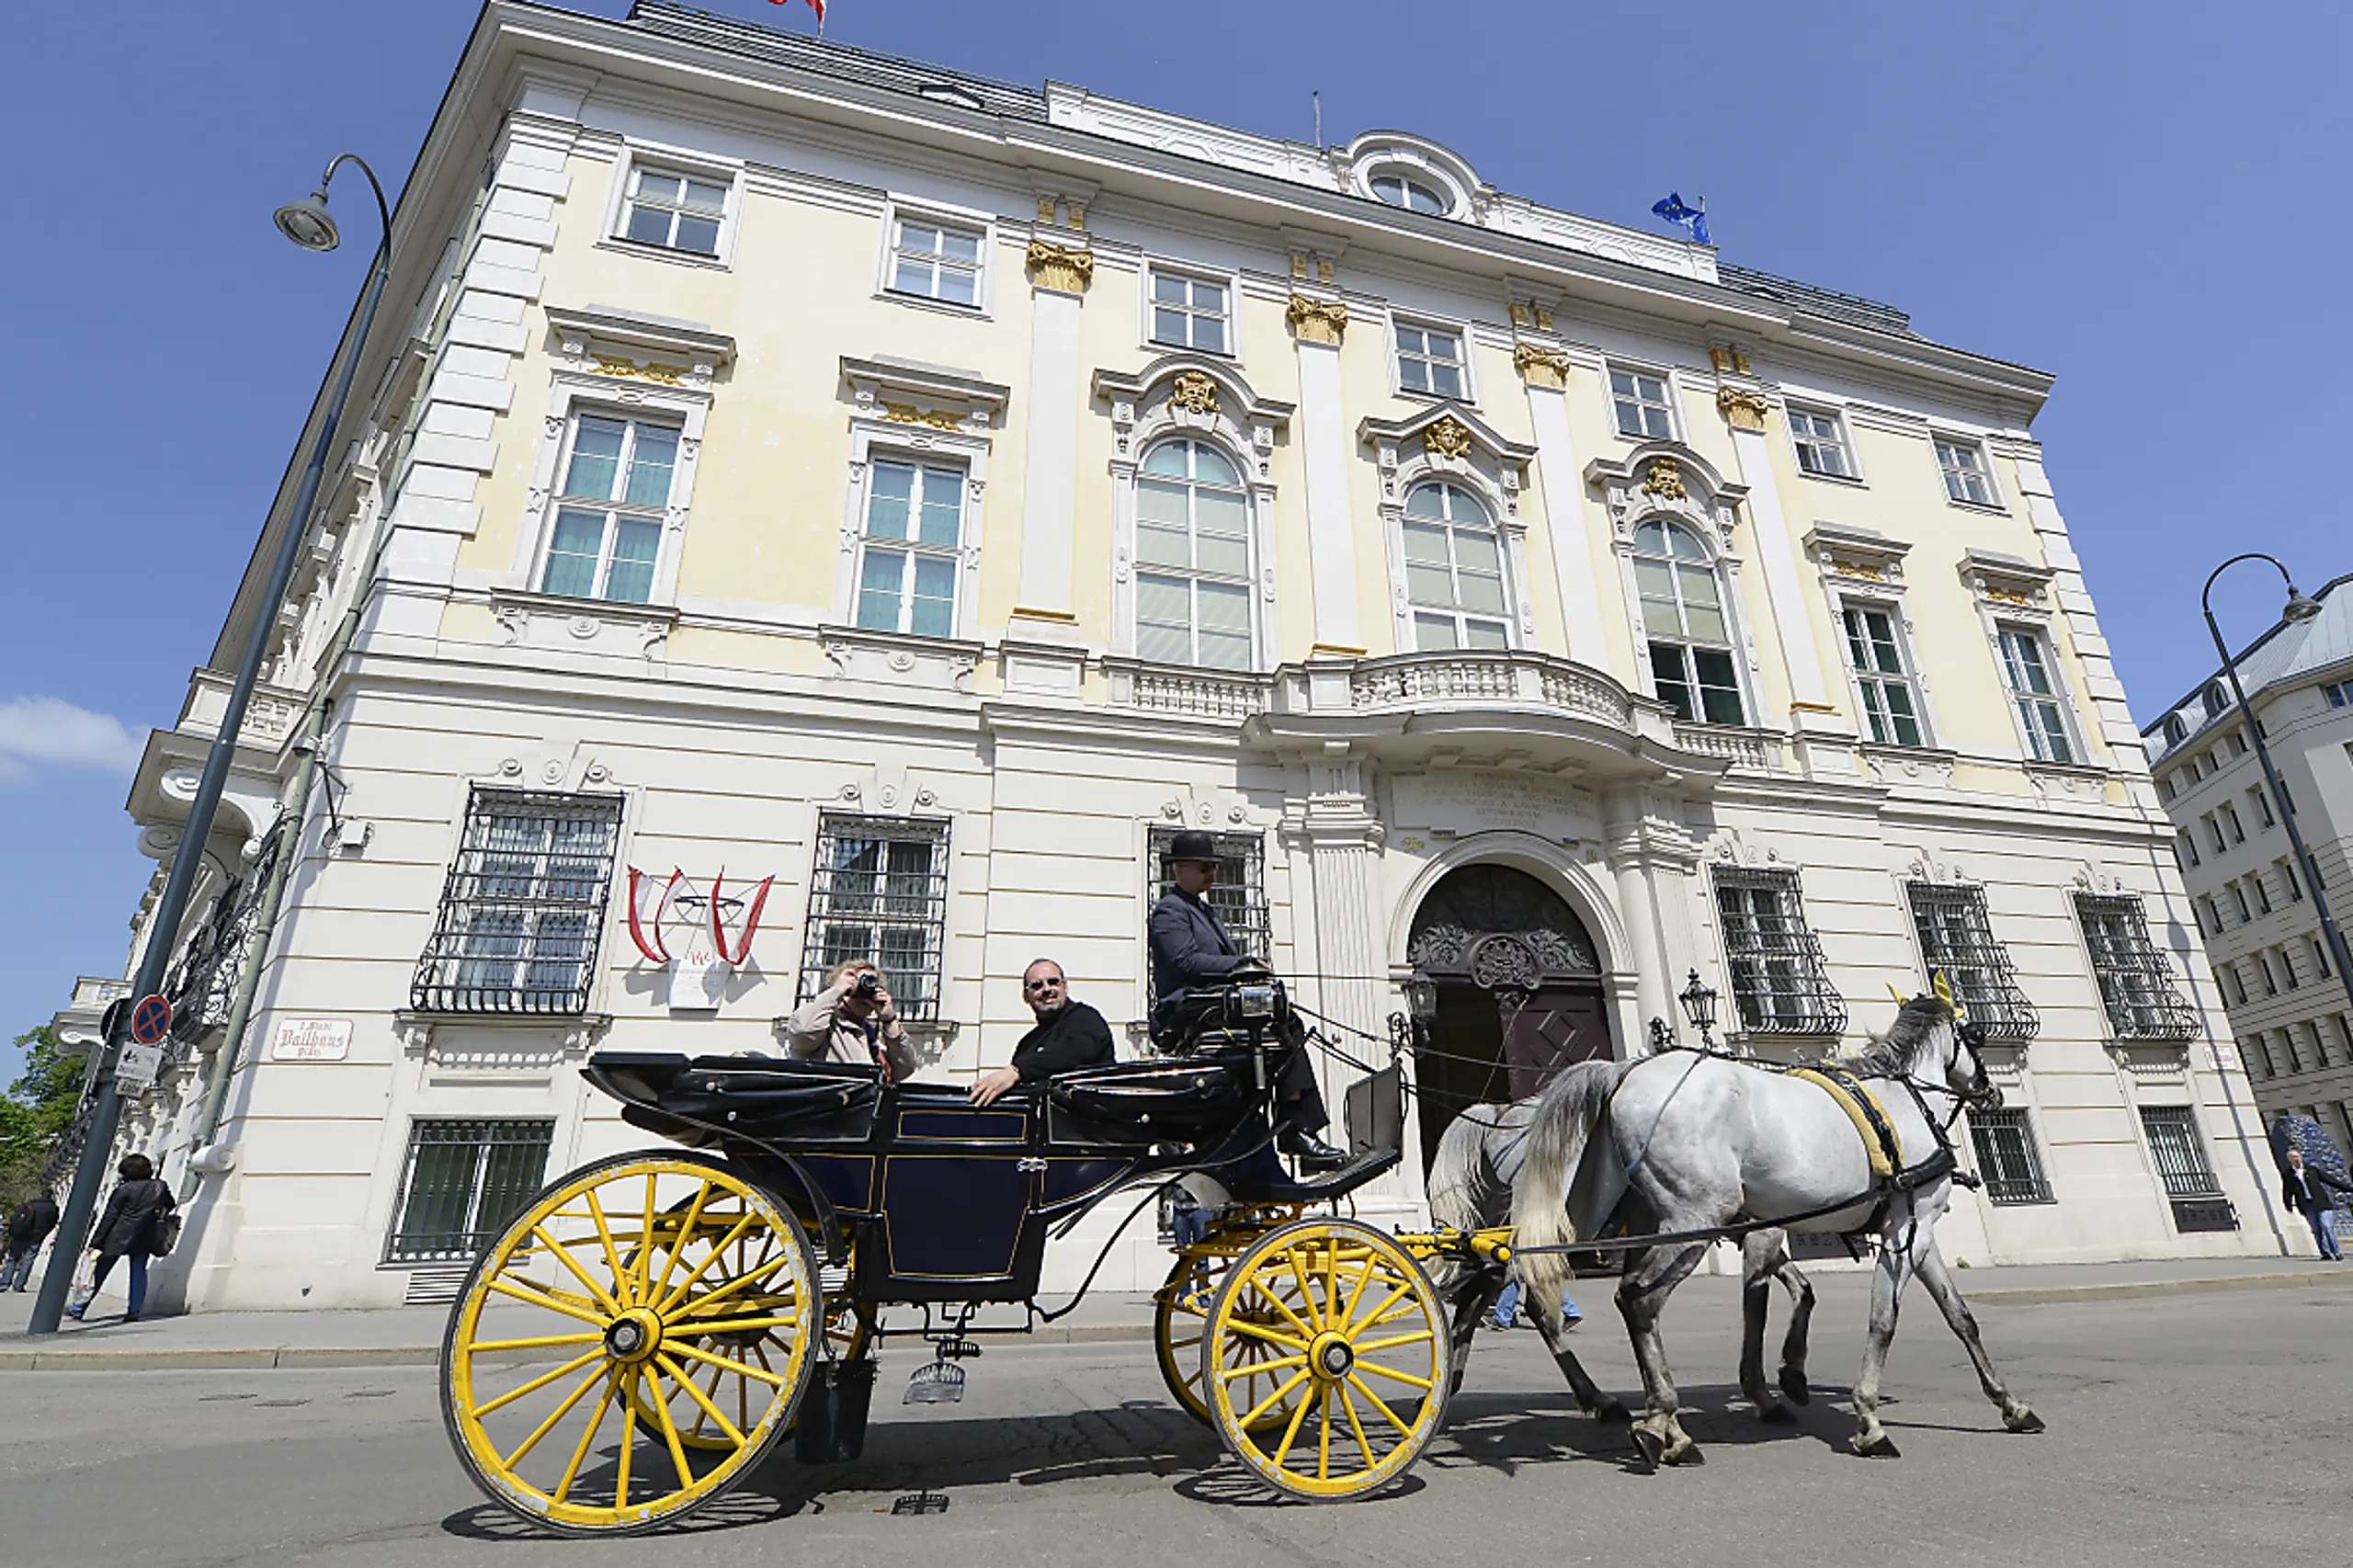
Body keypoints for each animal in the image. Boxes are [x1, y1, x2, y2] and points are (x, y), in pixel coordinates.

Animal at [1421, 1092, 1807, 1422]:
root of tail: (1500, 1114)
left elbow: (1801, 1289)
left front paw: (1791, 1373)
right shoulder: (1761, 1230)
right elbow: (1758, 1307)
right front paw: (1765, 1392)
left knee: (1478, 1294)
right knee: (1523, 1304)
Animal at [1506, 993, 2042, 1460]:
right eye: (1974, 1034)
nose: (1991, 1090)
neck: (1900, 1100)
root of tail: (1623, 1071)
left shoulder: (1918, 1234)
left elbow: (1961, 1318)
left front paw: (2011, 1405)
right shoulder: (1902, 1231)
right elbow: (1882, 1321)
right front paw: (1868, 1420)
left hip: (1620, 1219)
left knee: (1559, 1297)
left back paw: (1627, 1409)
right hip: (1696, 1219)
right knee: (1637, 1298)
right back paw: (1662, 1424)